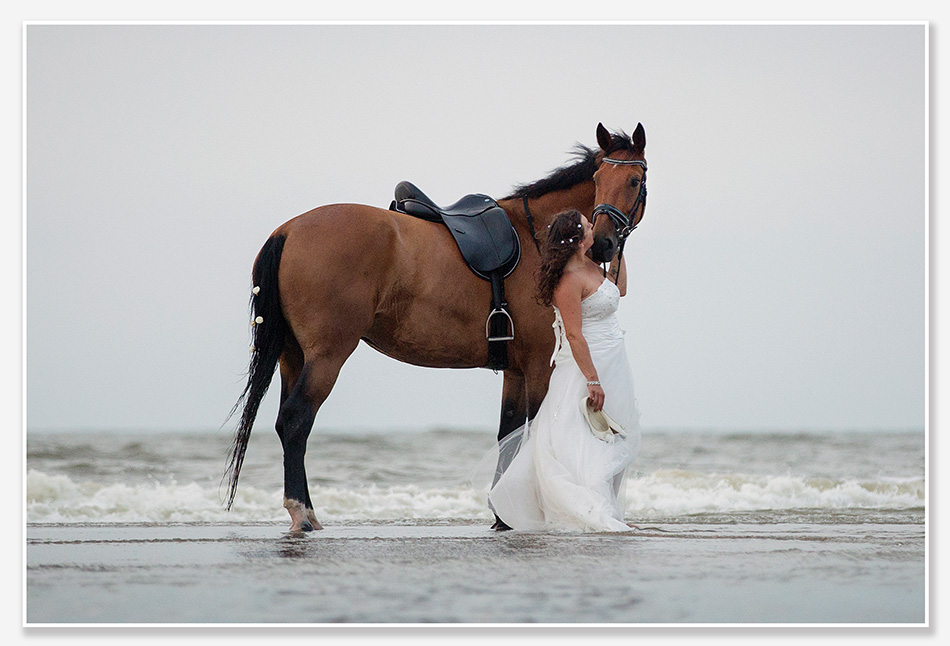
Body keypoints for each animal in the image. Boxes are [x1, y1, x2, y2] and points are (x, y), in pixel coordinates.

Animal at [226, 122, 648, 531]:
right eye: (598, 177)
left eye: (633, 180)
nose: (603, 244)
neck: (537, 237)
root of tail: (288, 230)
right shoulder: (538, 364)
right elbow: (526, 434)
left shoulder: (514, 369)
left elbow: (507, 434)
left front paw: (502, 515)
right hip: (327, 354)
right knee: (296, 420)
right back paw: (303, 513)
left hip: (292, 356)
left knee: (286, 424)